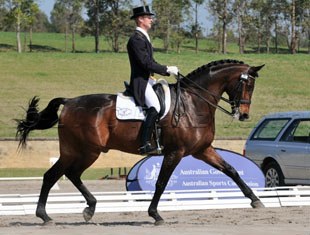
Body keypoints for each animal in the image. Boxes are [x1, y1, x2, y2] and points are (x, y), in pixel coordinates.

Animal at [15, 59, 264, 225]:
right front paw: (155, 214)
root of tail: (69, 102)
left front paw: (255, 200)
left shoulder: (203, 150)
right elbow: (161, 183)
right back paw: (47, 215)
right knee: (58, 174)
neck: (193, 103)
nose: (243, 115)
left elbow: (231, 170)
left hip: (79, 151)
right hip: (85, 151)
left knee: (65, 174)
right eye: (247, 85)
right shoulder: (175, 152)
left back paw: (81, 209)